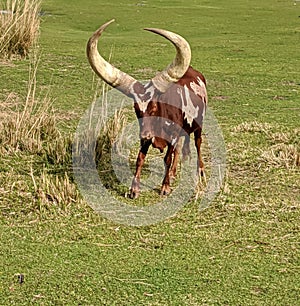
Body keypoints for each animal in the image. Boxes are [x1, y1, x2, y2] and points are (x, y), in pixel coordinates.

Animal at [86, 20, 207, 200]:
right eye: (136, 109)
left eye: (155, 107)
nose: (145, 135)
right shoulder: (147, 138)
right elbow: (140, 158)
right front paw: (134, 189)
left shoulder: (172, 136)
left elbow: (167, 158)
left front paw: (165, 187)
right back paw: (173, 173)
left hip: (199, 125)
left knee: (198, 144)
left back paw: (200, 171)